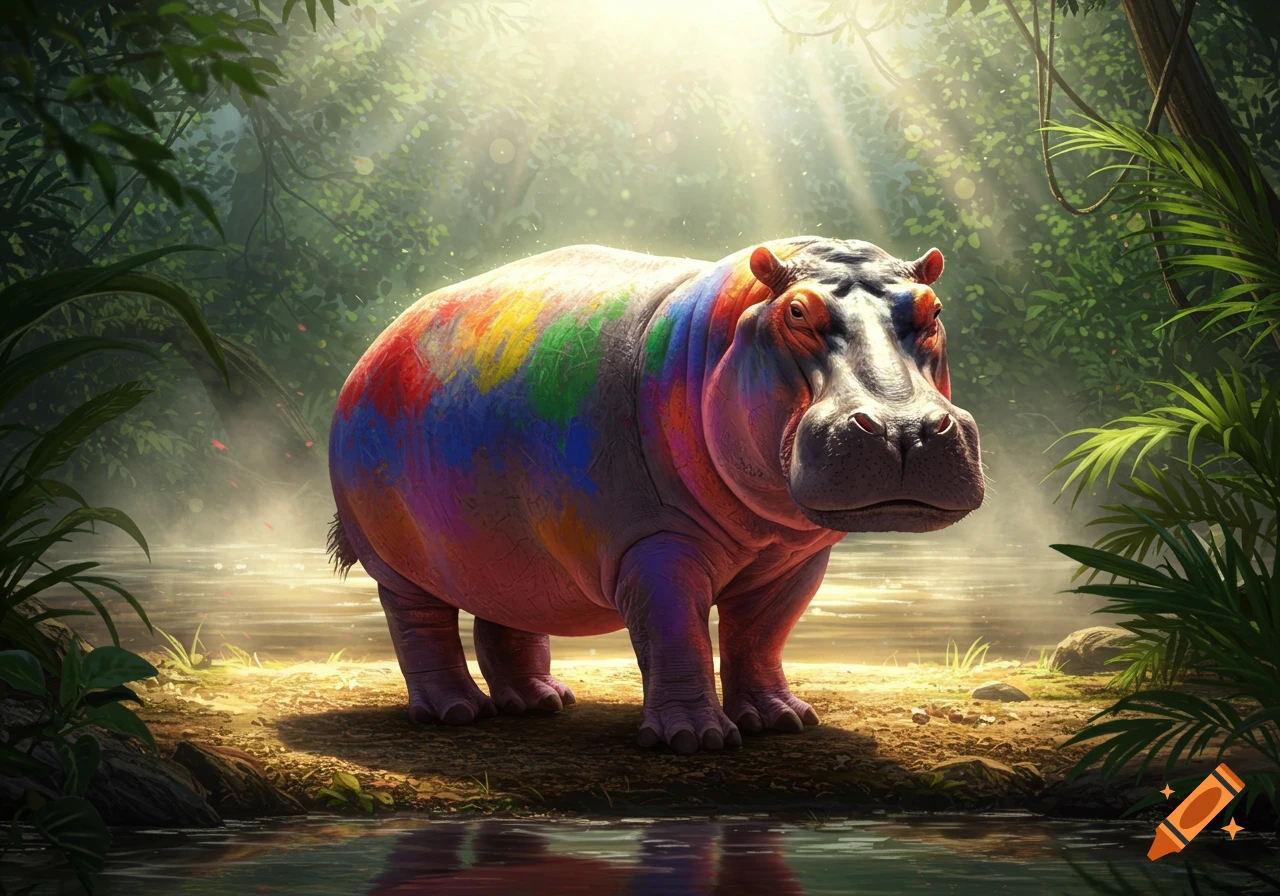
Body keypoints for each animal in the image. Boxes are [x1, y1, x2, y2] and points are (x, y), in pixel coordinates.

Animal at [327, 237, 984, 754]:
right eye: (797, 311)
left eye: (933, 308)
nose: (905, 429)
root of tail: (370, 349)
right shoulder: (655, 545)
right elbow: (676, 634)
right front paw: (698, 739)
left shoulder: (794, 559)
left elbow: (762, 634)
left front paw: (782, 720)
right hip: (397, 559)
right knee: (419, 624)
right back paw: (455, 711)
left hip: (507, 544)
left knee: (508, 611)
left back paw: (542, 701)